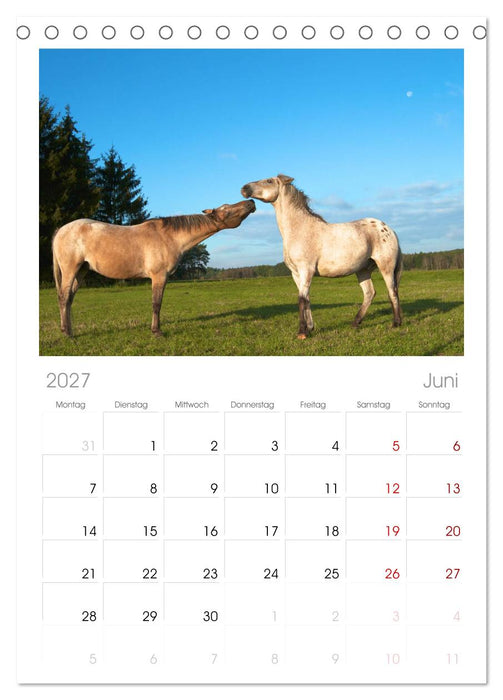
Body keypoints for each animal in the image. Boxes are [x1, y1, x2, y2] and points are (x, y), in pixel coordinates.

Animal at [52, 199, 256, 336]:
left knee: (69, 299)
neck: (169, 237)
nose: (251, 202)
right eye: (226, 209)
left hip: (81, 271)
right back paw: (67, 333)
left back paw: (67, 329)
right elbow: (156, 304)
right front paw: (157, 331)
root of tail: (61, 230)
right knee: (63, 298)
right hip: (70, 270)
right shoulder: (159, 276)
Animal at [241, 174, 402, 339]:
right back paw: (355, 323)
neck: (299, 229)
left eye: (269, 181)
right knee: (369, 293)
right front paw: (310, 328)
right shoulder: (296, 274)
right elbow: (306, 299)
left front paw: (302, 332)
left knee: (392, 291)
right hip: (363, 270)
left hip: (386, 267)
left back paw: (396, 323)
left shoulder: (306, 270)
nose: (244, 189)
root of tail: (389, 229)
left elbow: (301, 299)